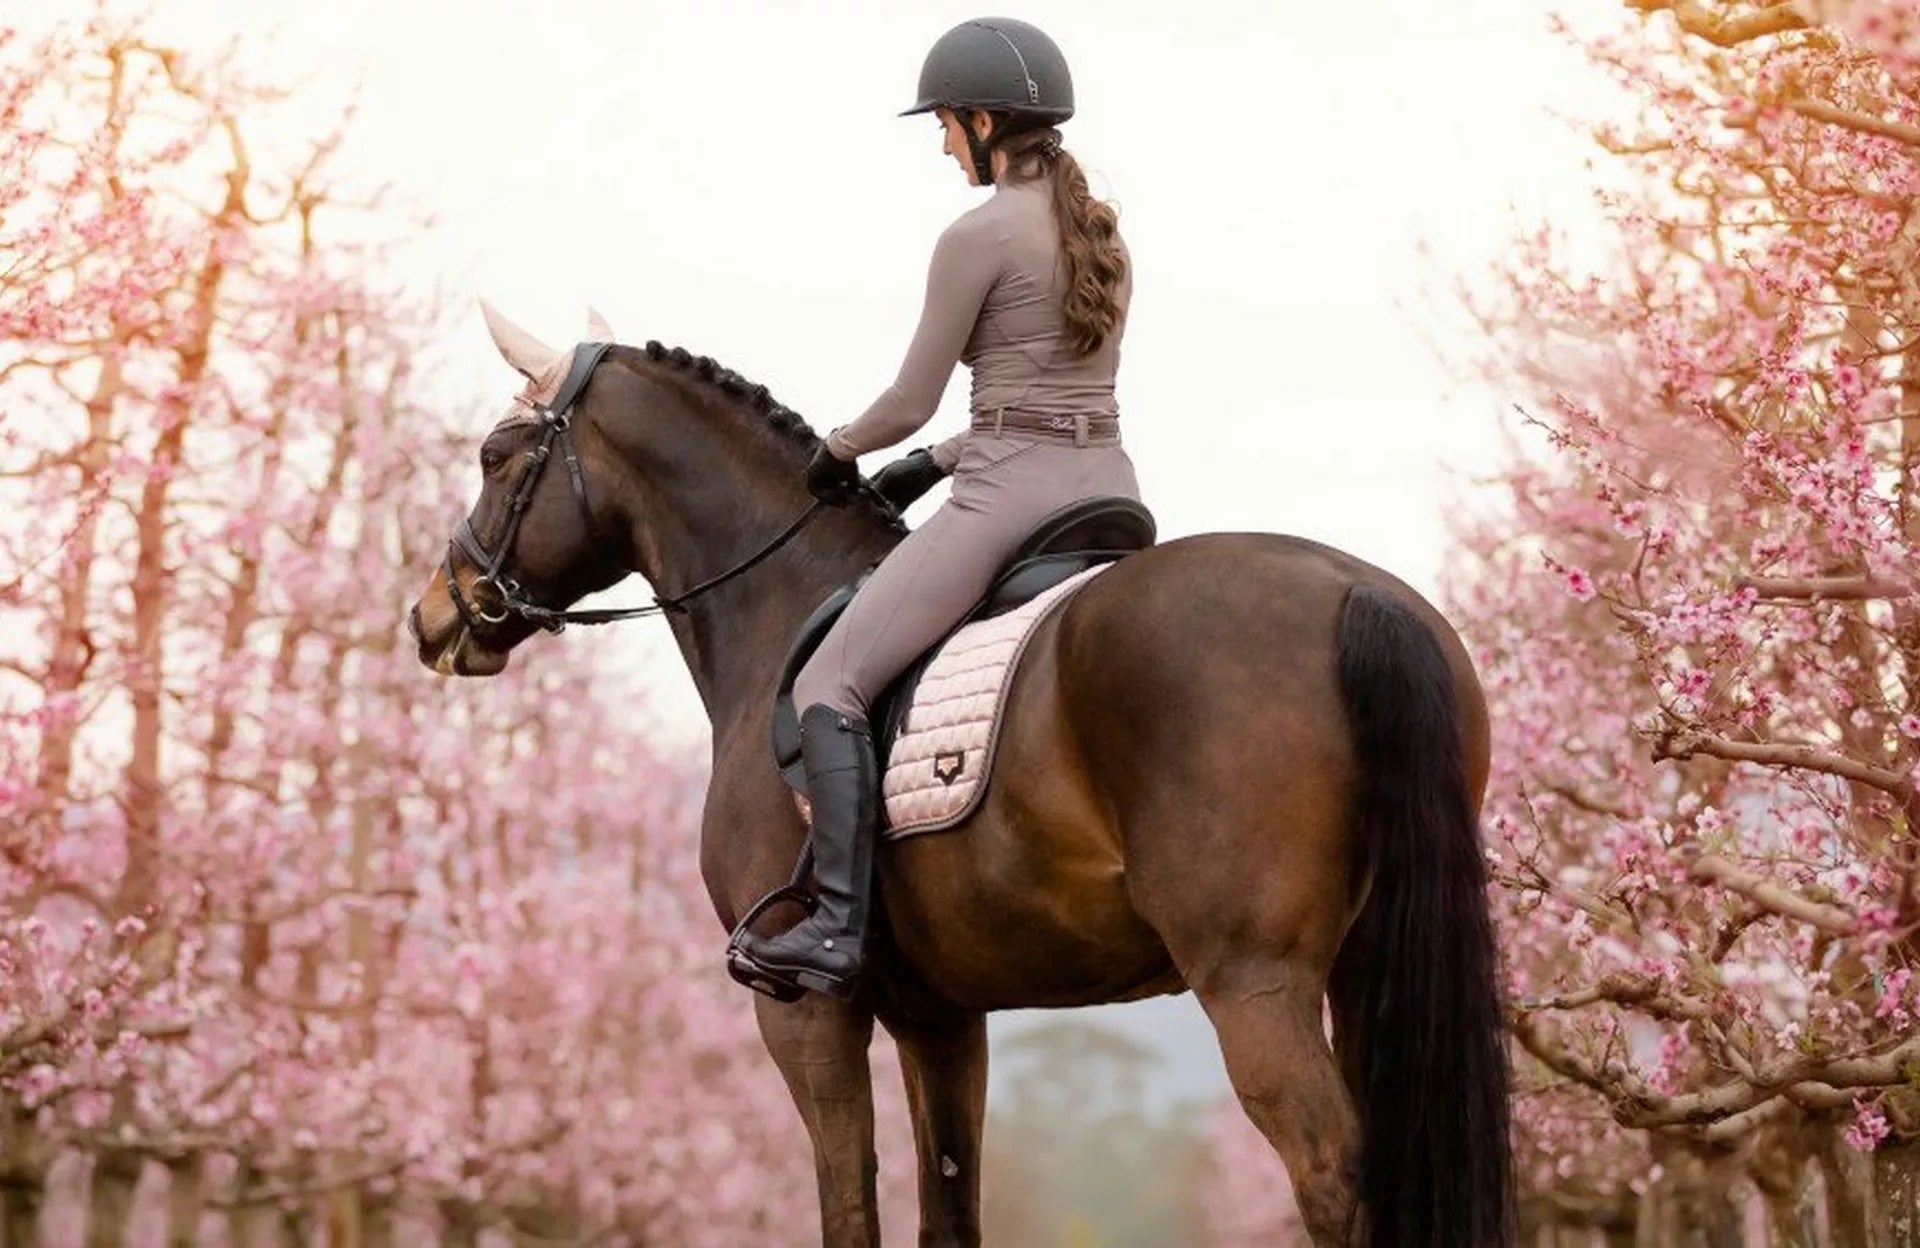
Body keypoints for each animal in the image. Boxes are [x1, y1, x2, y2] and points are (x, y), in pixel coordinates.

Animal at [406, 304, 1514, 1248]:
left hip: (1254, 980)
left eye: (496, 456)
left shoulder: (806, 1014)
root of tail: (1358, 593)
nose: (434, 614)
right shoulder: (940, 1019)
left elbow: (849, 1207)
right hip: (1363, 961)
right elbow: (948, 1210)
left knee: (1335, 1171)